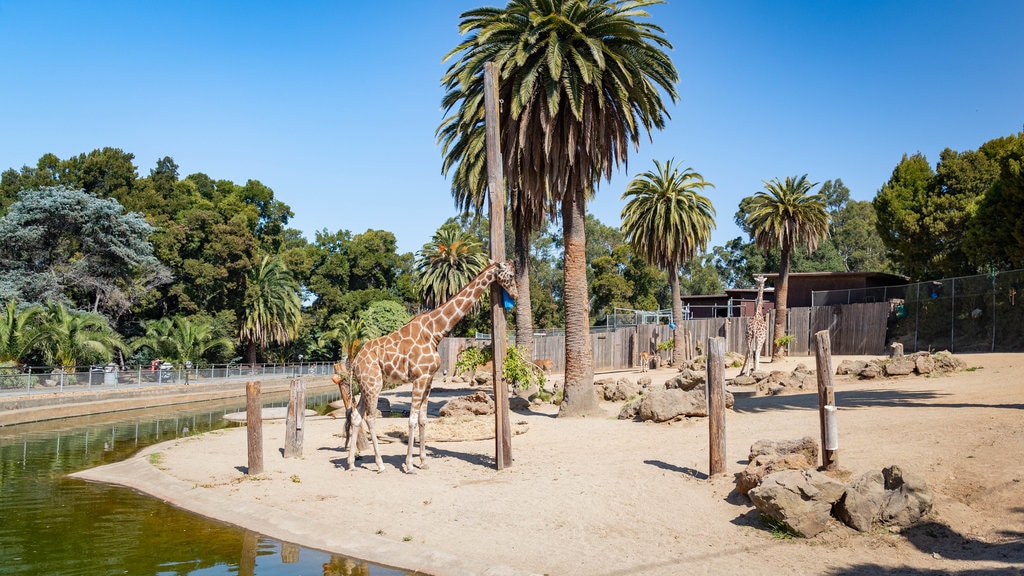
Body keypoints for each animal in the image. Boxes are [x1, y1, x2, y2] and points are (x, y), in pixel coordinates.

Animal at [337, 260, 516, 471]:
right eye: (511, 275)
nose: (515, 295)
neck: (435, 332)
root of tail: (355, 361)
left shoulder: (429, 379)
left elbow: (423, 420)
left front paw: (423, 461)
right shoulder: (419, 377)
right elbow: (412, 419)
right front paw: (409, 464)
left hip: (366, 385)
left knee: (357, 416)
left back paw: (351, 463)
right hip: (373, 384)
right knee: (370, 418)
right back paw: (380, 464)